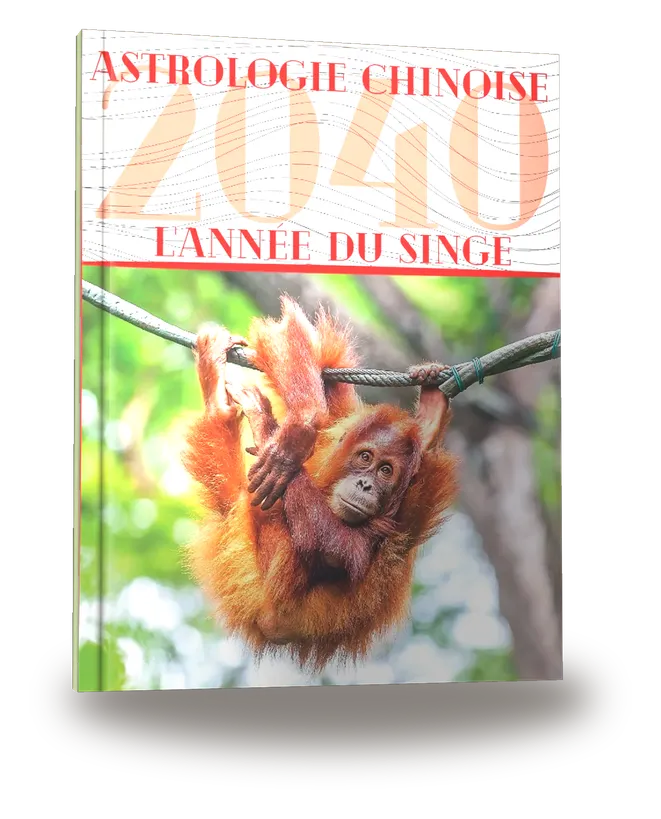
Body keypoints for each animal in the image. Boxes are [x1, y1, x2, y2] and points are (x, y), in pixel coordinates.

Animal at [182, 296, 459, 671]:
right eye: (366, 458)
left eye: (386, 471)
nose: (365, 485)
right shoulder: (343, 429)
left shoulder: (396, 522)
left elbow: (335, 548)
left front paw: (278, 435)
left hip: (254, 577)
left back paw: (234, 410)